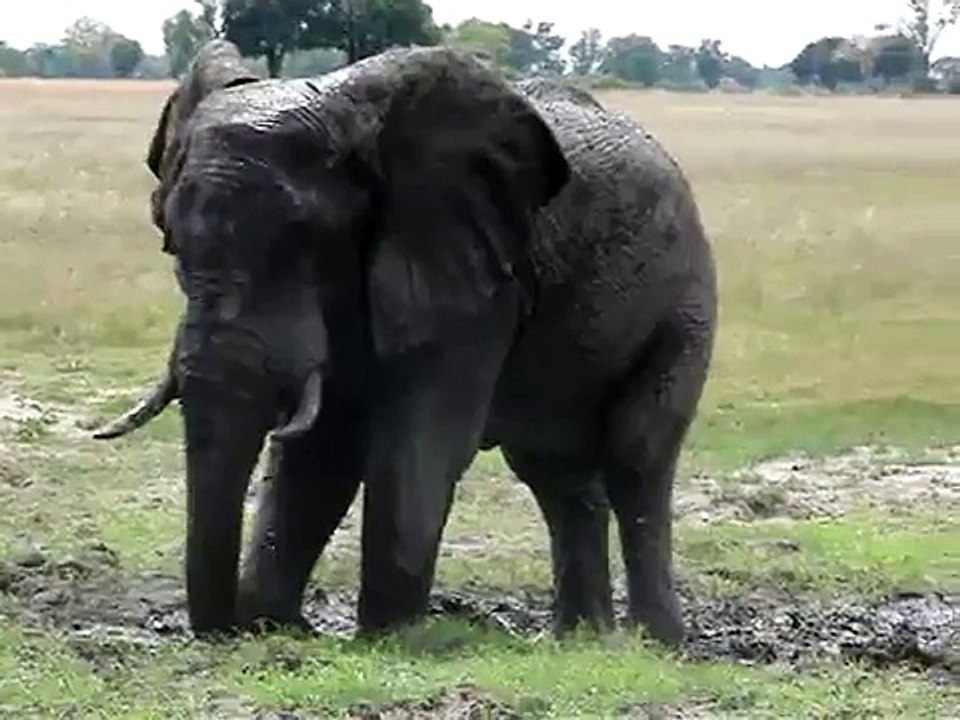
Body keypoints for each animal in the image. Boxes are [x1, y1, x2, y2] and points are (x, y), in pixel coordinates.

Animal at [94, 39, 717, 645]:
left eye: (306, 242)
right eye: (171, 242)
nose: (225, 633)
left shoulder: (470, 278)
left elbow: (419, 437)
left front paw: (387, 634)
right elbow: (324, 444)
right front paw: (280, 624)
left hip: (684, 306)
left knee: (636, 456)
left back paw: (655, 642)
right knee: (555, 473)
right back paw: (580, 640)